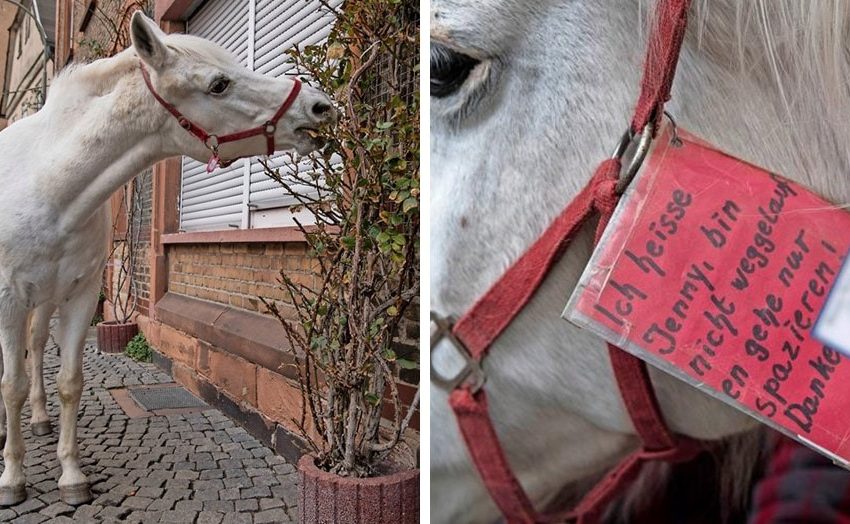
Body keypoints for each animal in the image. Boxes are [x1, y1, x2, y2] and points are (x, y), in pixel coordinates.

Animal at [0, 11, 334, 504]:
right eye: (218, 84)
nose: (319, 107)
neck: (50, 188)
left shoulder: (80, 296)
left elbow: (69, 382)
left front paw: (71, 474)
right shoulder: (8, 300)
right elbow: (11, 386)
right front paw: (12, 477)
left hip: (45, 301)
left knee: (38, 346)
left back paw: (40, 421)